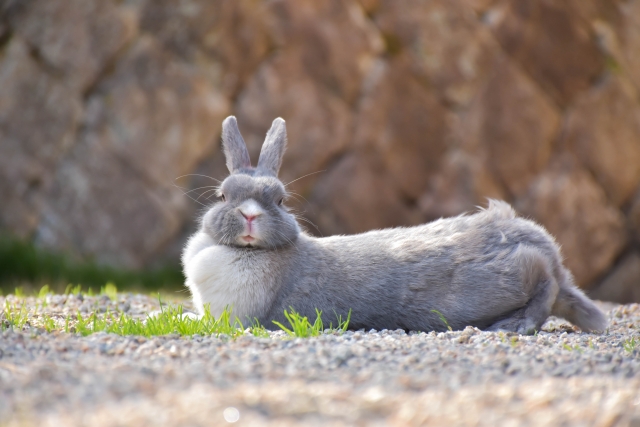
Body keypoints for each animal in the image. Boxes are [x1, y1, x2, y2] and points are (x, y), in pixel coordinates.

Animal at [182, 116, 608, 334]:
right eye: (223, 196)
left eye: (281, 200)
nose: (250, 215)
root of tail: (540, 244)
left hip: (517, 274)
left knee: (547, 288)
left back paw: (514, 325)